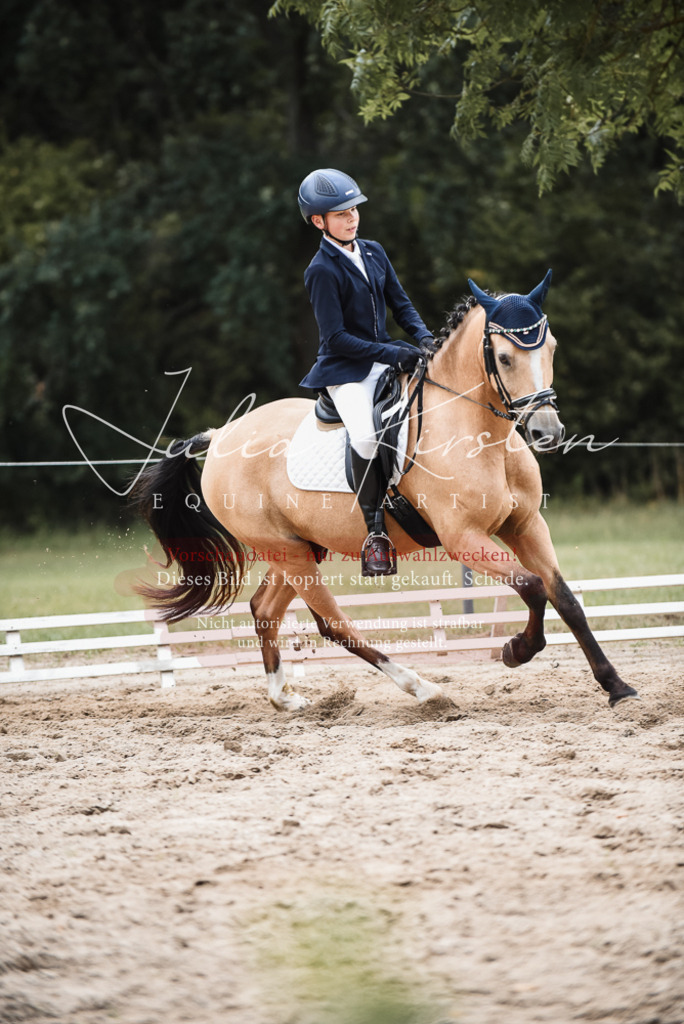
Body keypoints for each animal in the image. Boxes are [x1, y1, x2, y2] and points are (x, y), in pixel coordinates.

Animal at [131, 273, 639, 711]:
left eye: (551, 347)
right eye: (505, 358)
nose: (546, 432)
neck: (481, 436)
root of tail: (221, 435)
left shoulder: (526, 525)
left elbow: (565, 598)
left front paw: (617, 687)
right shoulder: (464, 539)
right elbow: (533, 587)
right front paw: (517, 649)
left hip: (297, 548)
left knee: (265, 610)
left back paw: (285, 698)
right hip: (287, 552)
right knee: (334, 623)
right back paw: (424, 689)